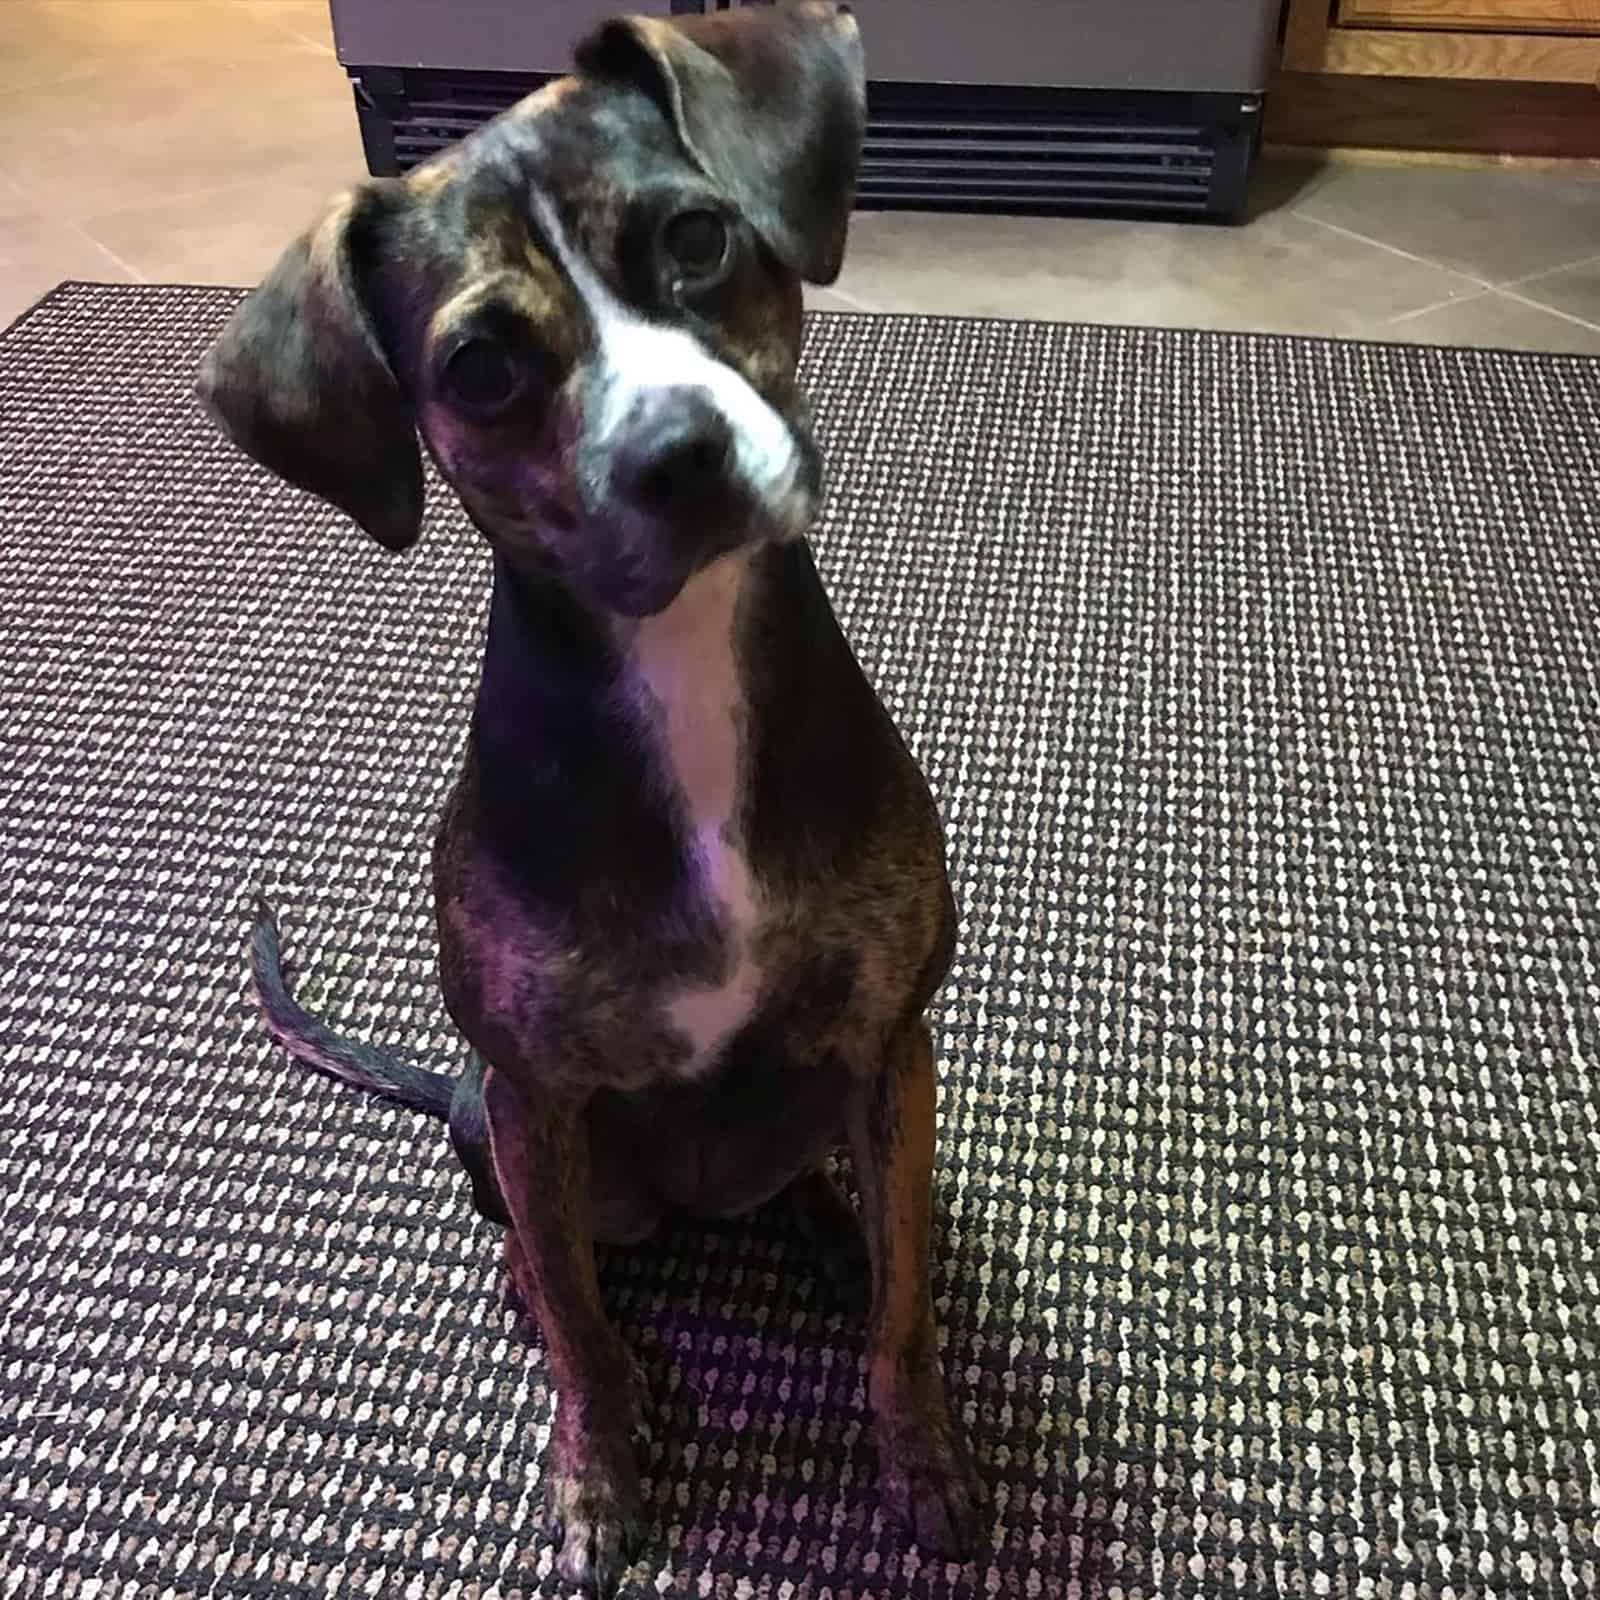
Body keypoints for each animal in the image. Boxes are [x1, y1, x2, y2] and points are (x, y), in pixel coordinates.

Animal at [200, 6, 972, 1593]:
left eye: (695, 237)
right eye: (483, 367)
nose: (680, 456)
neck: (681, 667)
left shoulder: (891, 1043)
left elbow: (906, 1308)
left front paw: (920, 1452)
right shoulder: (535, 1095)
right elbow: (577, 1331)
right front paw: (599, 1472)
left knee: (829, 1199)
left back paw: (828, 1232)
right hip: (510, 1137)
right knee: (555, 1270)